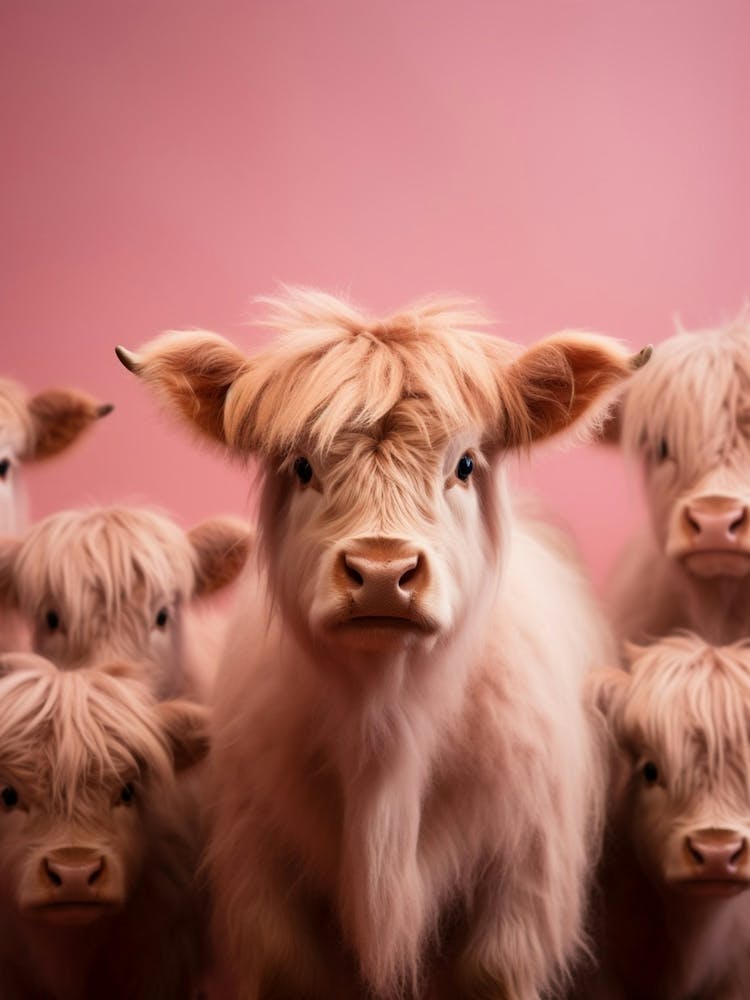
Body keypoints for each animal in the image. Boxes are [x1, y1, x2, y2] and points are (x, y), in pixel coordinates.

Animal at [117, 288, 649, 999]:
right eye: (302, 465)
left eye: (464, 464)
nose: (380, 573)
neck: (385, 731)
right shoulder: (267, 896)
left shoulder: (519, 900)